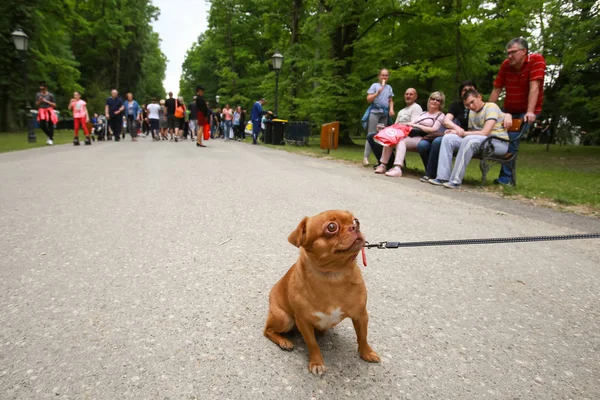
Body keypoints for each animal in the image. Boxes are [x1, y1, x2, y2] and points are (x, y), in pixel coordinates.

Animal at [264, 209, 380, 376]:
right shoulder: (303, 322)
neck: (333, 276)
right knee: (267, 330)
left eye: (356, 221)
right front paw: (317, 362)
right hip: (285, 319)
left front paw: (367, 353)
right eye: (332, 227)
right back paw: (284, 341)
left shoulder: (361, 315)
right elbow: (312, 344)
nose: (354, 227)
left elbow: (363, 336)